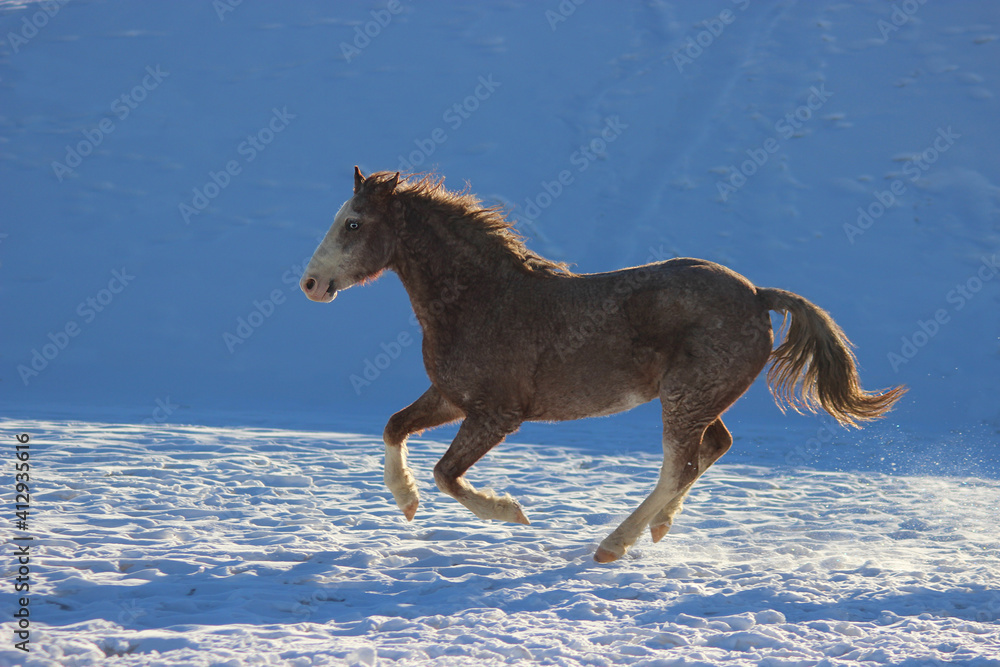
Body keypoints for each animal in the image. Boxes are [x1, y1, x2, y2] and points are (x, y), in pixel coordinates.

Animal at [299, 167, 905, 563]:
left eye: (353, 224)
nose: (310, 283)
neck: (482, 299)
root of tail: (758, 296)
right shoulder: (450, 398)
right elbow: (394, 427)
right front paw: (406, 503)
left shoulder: (497, 414)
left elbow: (447, 474)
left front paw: (511, 512)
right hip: (700, 399)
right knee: (713, 449)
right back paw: (656, 529)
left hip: (684, 398)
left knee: (681, 465)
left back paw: (614, 545)